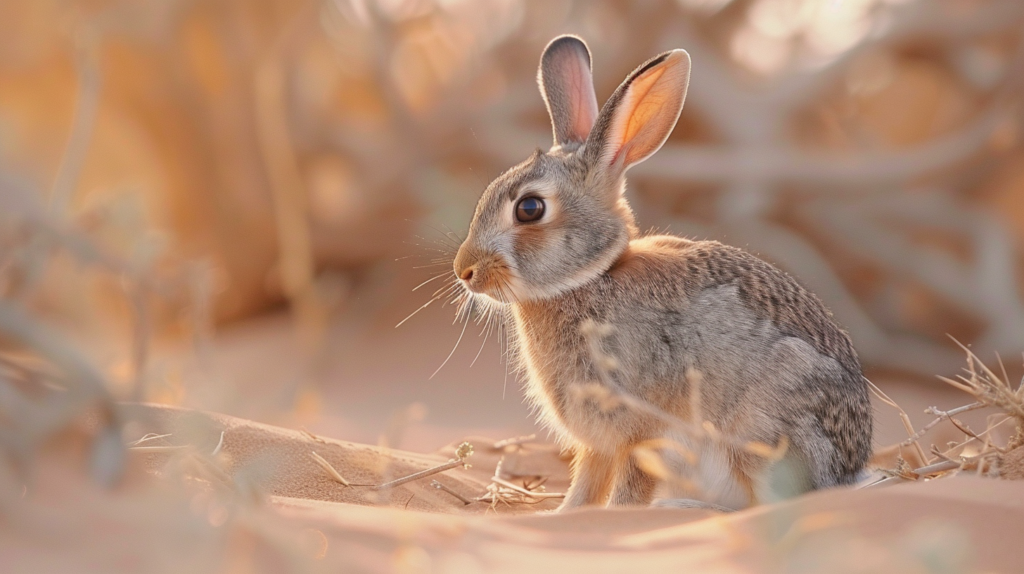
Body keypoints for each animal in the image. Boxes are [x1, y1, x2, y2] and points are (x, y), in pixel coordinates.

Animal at [452, 35, 868, 509]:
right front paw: (561, 515)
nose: (464, 270)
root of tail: (848, 470)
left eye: (529, 208)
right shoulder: (598, 445)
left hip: (764, 436)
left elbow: (627, 491)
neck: (589, 279)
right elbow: (586, 487)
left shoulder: (647, 431)